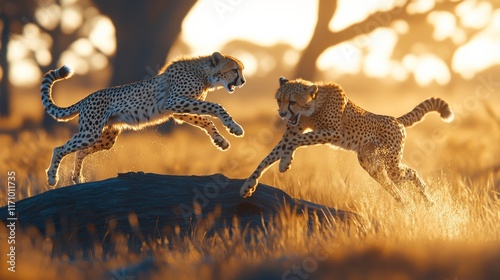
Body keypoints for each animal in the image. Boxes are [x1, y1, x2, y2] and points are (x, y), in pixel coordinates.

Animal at [42, 52, 245, 186]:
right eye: (235, 70)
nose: (243, 81)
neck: (204, 74)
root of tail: (85, 98)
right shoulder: (175, 101)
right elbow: (216, 107)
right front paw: (234, 128)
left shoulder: (178, 109)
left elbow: (205, 120)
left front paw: (220, 141)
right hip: (90, 132)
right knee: (59, 148)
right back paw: (52, 177)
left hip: (106, 138)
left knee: (80, 151)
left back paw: (78, 178)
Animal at [240, 77, 456, 203]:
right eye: (279, 100)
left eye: (292, 101)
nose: (282, 114)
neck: (312, 107)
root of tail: (396, 119)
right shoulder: (291, 134)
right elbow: (268, 157)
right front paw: (248, 186)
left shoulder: (333, 133)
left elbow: (298, 141)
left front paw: (285, 162)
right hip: (370, 164)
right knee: (392, 185)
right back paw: (405, 204)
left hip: (391, 163)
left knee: (410, 172)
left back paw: (428, 201)